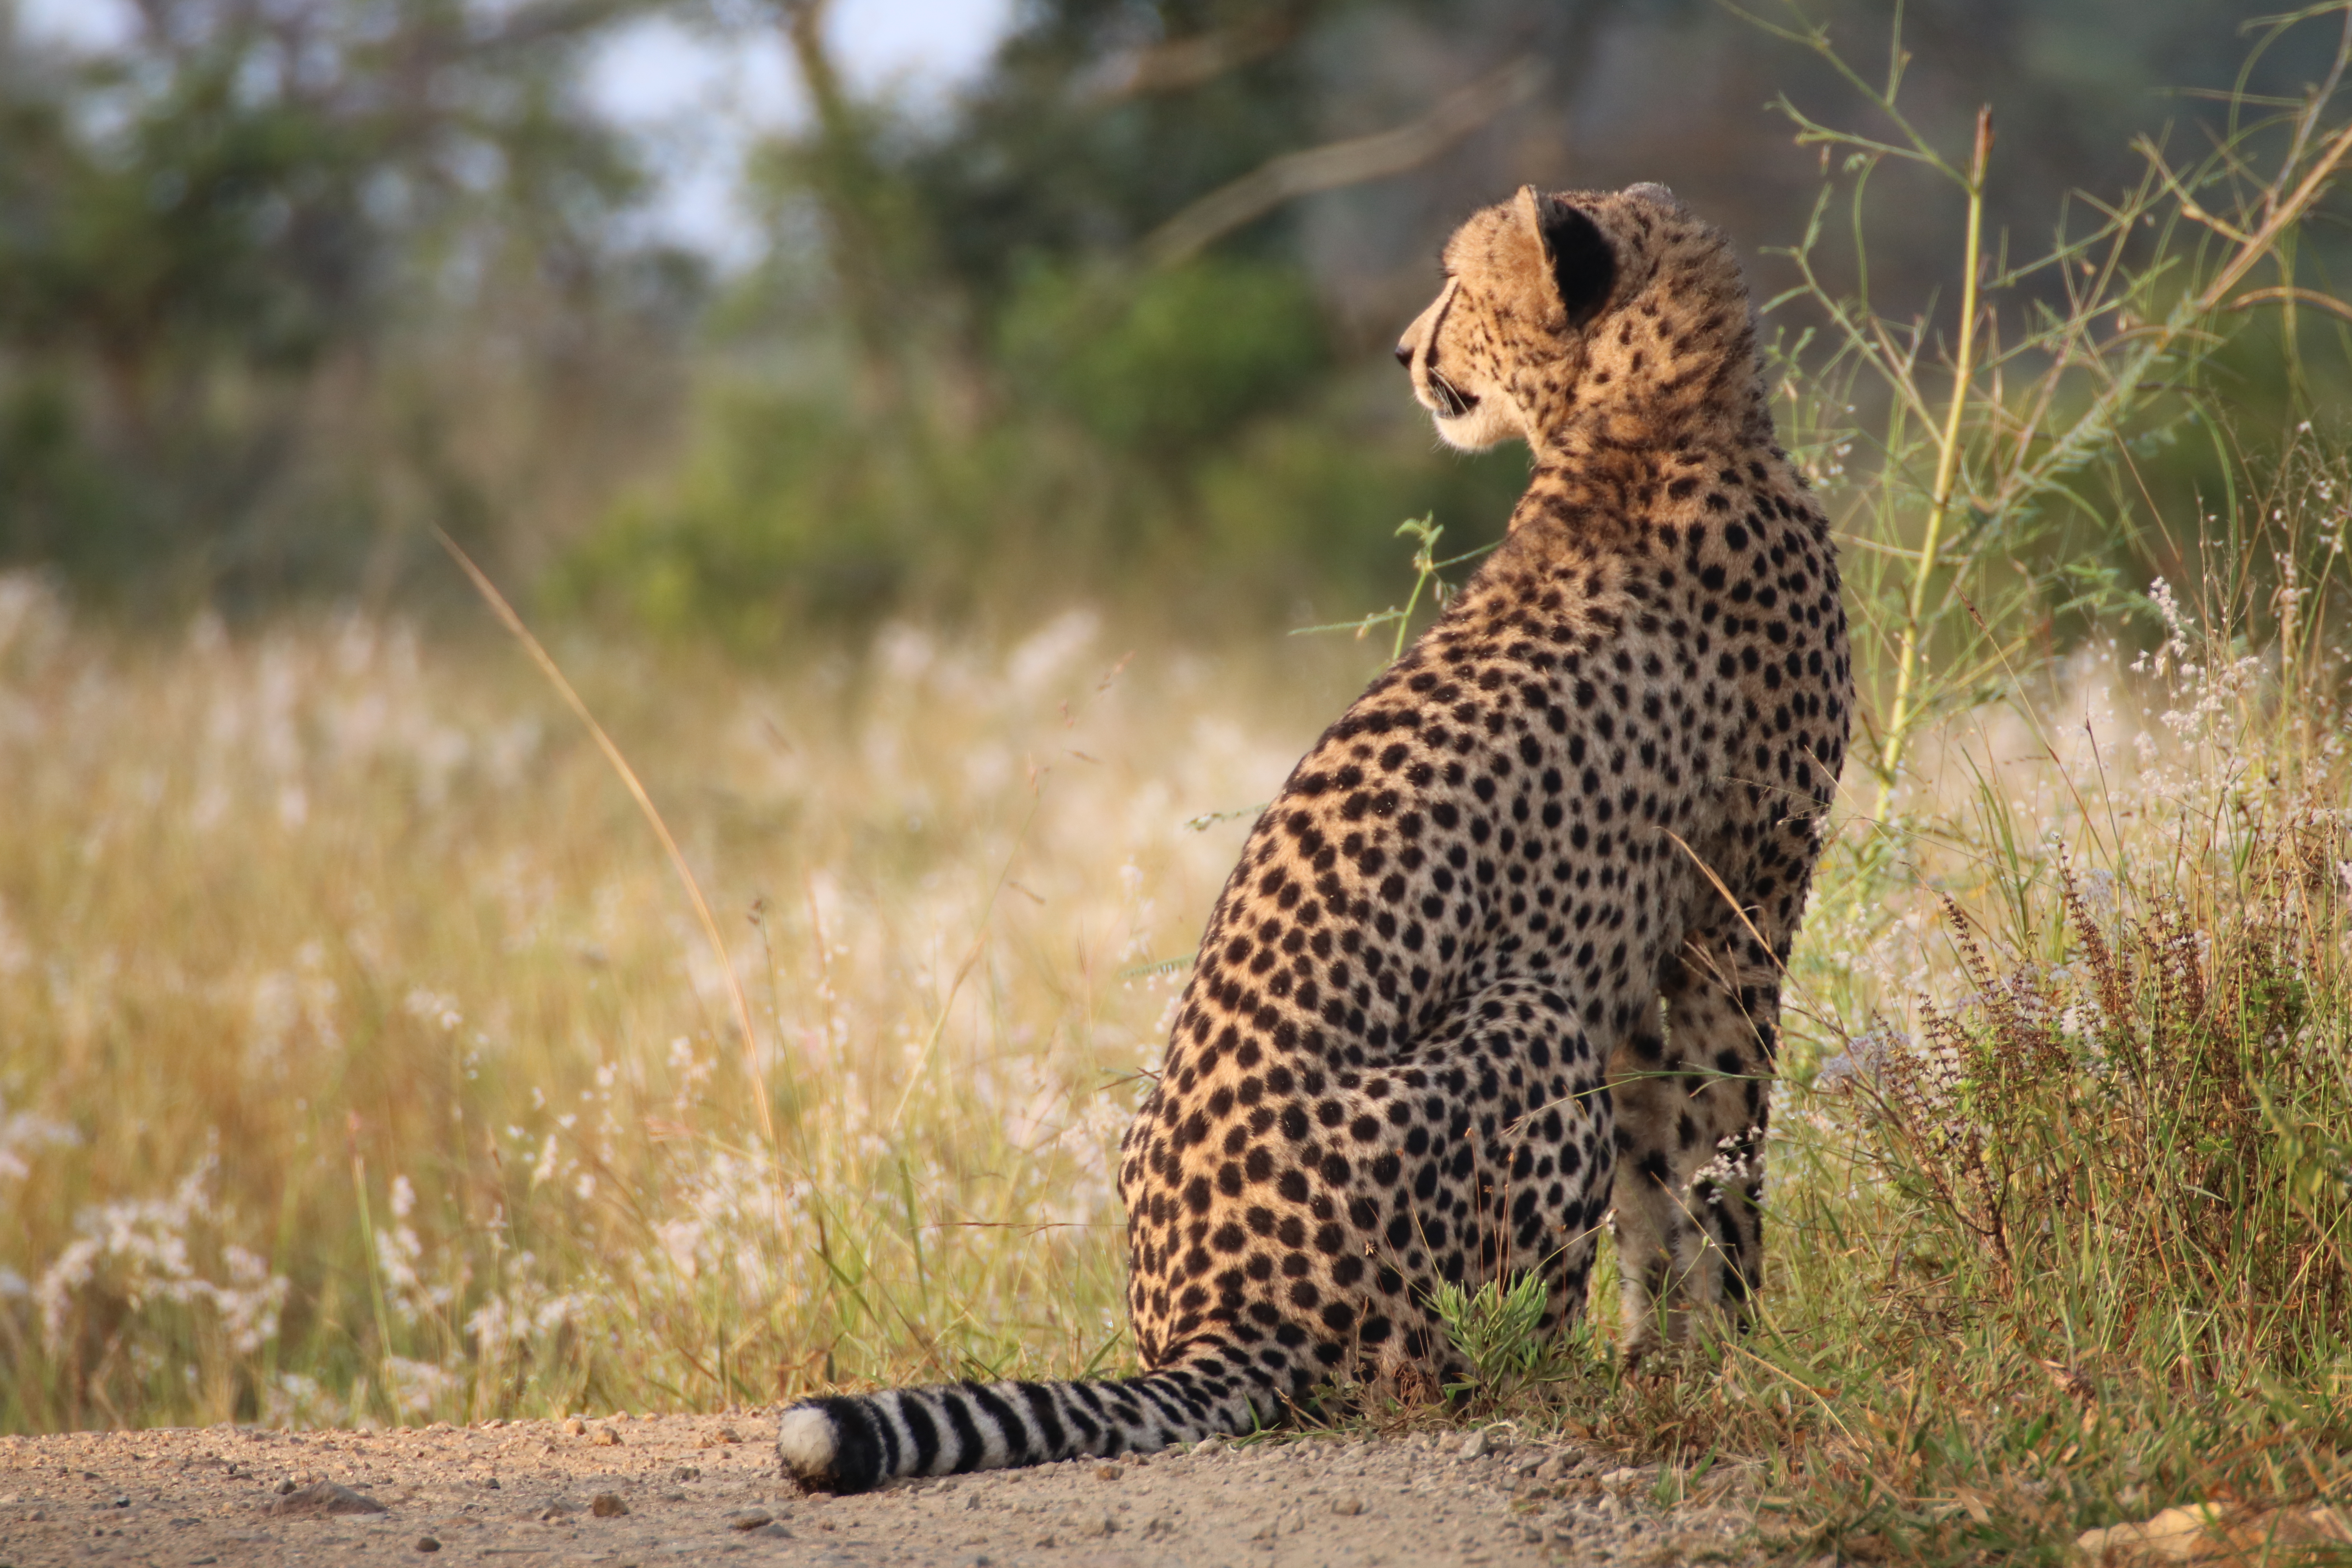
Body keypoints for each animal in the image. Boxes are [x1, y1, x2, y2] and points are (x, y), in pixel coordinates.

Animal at [778, 181, 1851, 1494]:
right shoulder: (1738, 903)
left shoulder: (1653, 953)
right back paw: (1550, 1384)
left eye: (1458, 284)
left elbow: (1663, 1182)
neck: (1648, 415)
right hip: (1526, 1018)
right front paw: (1743, 1357)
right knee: (1447, 1363)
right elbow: (1724, 1151)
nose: (1401, 350)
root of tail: (1207, 1322)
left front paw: (1673, 1365)